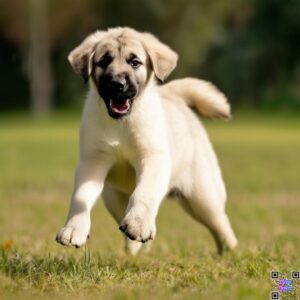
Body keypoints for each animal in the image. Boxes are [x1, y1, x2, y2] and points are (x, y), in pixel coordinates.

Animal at [55, 27, 238, 254]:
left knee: (220, 221)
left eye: (135, 62)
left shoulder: (152, 158)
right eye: (104, 61)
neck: (122, 123)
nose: (117, 84)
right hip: (113, 197)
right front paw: (73, 229)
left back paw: (230, 250)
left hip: (203, 196)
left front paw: (139, 225)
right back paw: (133, 249)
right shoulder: (92, 162)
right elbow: (80, 197)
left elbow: (144, 193)